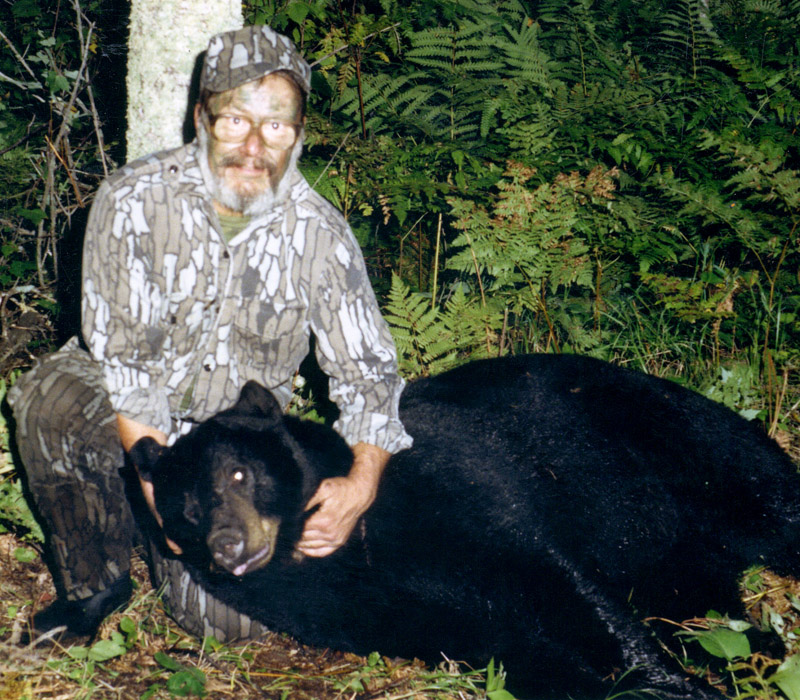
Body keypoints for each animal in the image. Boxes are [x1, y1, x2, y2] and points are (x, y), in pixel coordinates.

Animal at [131, 356, 800, 700]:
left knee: (766, 497)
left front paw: (675, 685)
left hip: (679, 439)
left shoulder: (460, 492)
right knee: (696, 590)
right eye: (186, 506)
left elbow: (561, 584)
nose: (228, 544)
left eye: (239, 473)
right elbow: (513, 649)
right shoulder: (365, 607)